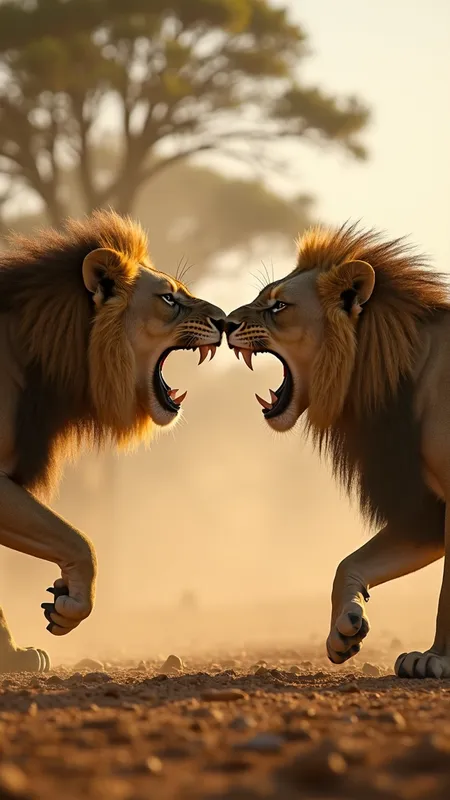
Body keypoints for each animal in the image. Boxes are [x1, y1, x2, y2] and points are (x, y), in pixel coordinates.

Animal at [226, 221, 450, 679]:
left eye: (278, 306)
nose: (222, 322)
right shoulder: (427, 508)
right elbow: (349, 563)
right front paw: (344, 630)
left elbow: (447, 596)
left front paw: (435, 657)